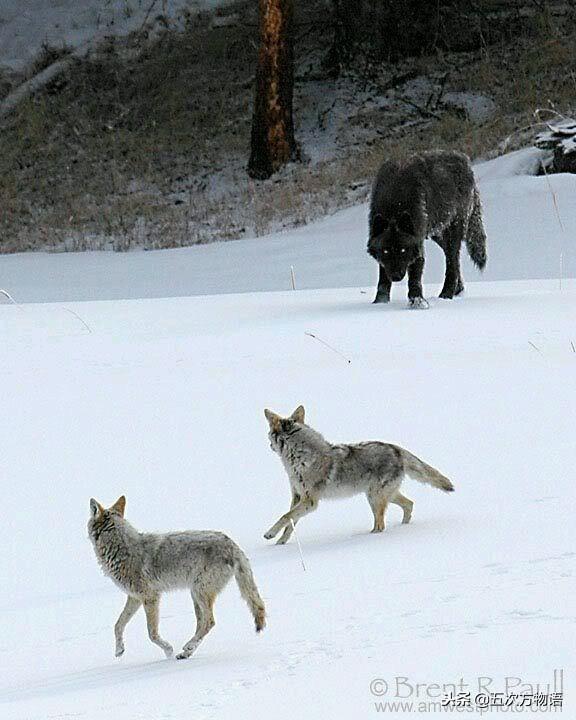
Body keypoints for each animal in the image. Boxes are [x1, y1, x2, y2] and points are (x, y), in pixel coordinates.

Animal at [366, 150, 484, 308]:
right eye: (385, 251)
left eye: (403, 250)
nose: (396, 276)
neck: (394, 204)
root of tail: (465, 160)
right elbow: (383, 279)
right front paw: (380, 303)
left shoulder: (418, 242)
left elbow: (415, 277)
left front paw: (417, 302)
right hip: (438, 234)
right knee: (452, 258)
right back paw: (458, 290)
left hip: (453, 231)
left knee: (452, 262)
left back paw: (446, 295)